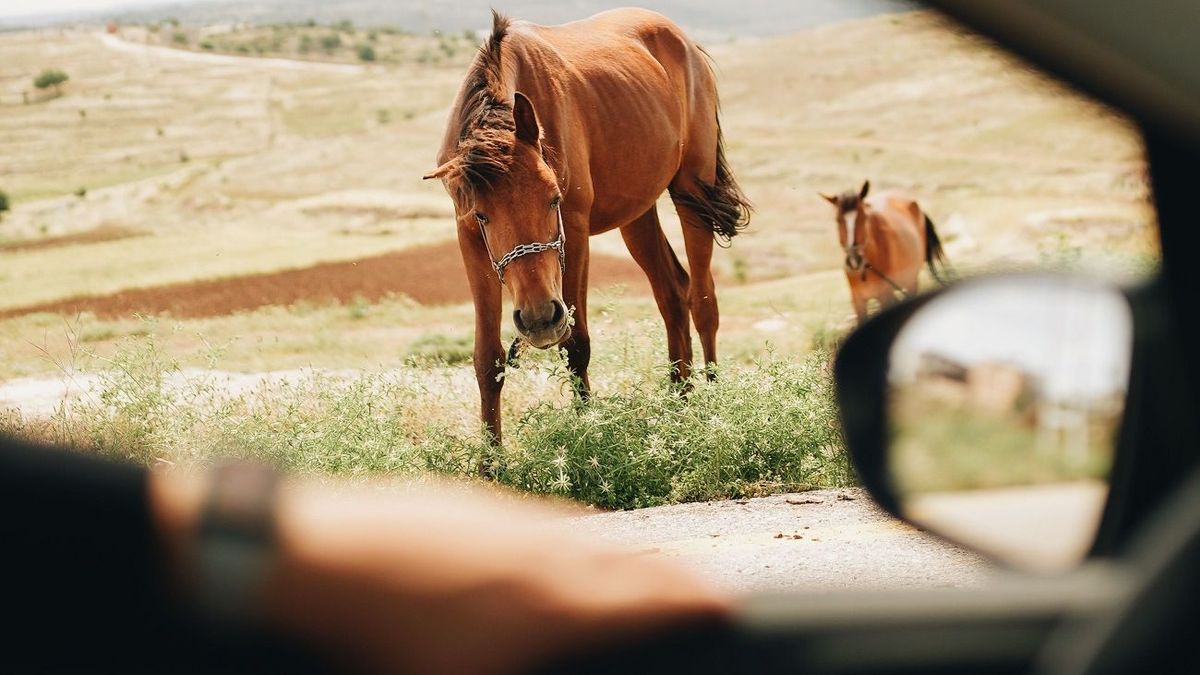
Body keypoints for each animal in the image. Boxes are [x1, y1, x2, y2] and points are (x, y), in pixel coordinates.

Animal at [424, 9, 751, 446]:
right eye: (481, 216)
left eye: (554, 199)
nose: (539, 318)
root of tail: (683, 41)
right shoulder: (470, 242)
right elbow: (487, 358)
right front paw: (492, 457)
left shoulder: (575, 233)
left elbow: (576, 345)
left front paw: (587, 431)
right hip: (638, 216)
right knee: (672, 294)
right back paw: (679, 405)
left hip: (691, 194)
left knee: (703, 300)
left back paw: (713, 408)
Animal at [820, 181, 950, 323]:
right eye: (837, 220)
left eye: (864, 217)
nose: (854, 261)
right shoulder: (858, 302)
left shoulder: (885, 296)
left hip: (911, 282)